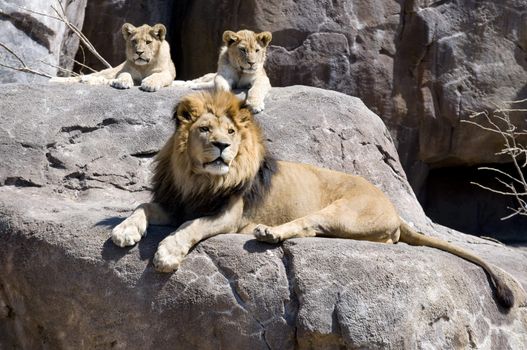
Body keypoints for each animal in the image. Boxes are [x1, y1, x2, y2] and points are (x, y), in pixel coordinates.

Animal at [112, 91, 516, 308]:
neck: (198, 178)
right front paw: (124, 232)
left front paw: (166, 253)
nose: (223, 146)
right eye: (205, 129)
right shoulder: (173, 200)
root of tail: (395, 209)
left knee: (310, 225)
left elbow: (190, 227)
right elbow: (141, 207)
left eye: (230, 131)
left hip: (343, 210)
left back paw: (269, 234)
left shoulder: (227, 214)